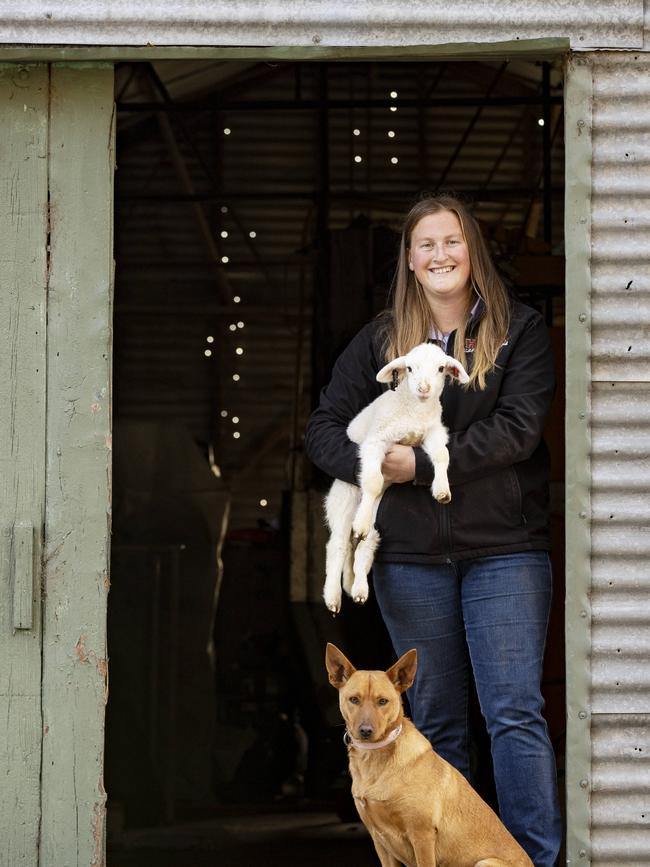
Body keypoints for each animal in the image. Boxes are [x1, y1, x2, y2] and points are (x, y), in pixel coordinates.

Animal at [322, 342, 466, 612]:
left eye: (441, 369)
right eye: (409, 368)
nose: (423, 389)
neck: (414, 412)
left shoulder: (433, 432)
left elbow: (441, 455)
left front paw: (442, 490)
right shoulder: (376, 441)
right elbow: (372, 481)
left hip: (377, 517)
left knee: (363, 546)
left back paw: (358, 588)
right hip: (343, 499)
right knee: (337, 545)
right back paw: (333, 596)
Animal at [324, 644, 532, 867]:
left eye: (383, 701)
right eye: (354, 699)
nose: (365, 731)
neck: (374, 758)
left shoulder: (421, 835)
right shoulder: (379, 840)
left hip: (484, 862)